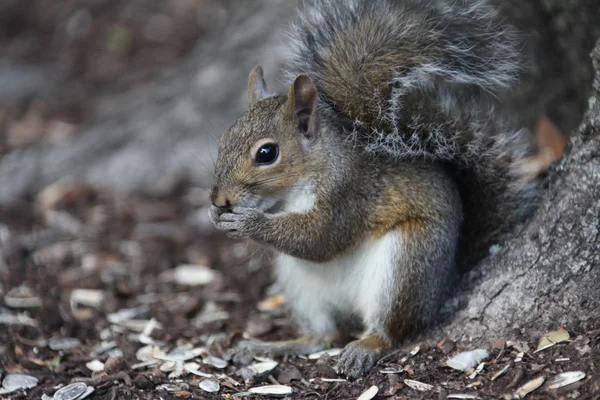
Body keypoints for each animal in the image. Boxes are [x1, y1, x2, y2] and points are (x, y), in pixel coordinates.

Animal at [207, 0, 540, 378]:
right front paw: (216, 215)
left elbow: (320, 238)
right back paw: (273, 346)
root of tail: (449, 276)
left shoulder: (348, 193)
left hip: (406, 264)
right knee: (324, 336)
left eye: (267, 153)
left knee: (389, 330)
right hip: (301, 285)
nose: (219, 198)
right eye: (224, 139)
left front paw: (249, 222)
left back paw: (365, 347)